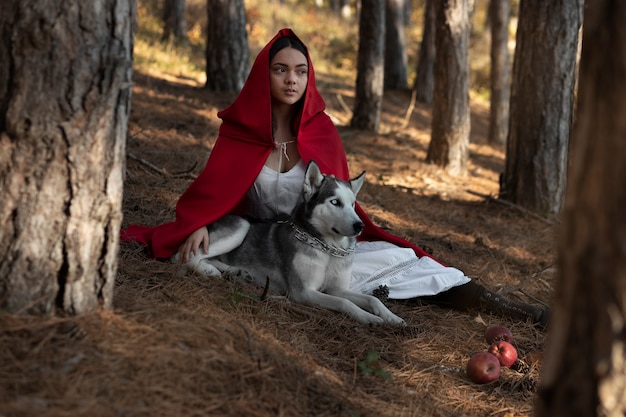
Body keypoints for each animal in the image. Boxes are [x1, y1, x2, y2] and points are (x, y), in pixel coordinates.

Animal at [171, 159, 404, 324]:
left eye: (353, 204)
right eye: (335, 202)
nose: (359, 226)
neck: (328, 249)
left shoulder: (336, 287)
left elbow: (372, 298)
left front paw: (391, 317)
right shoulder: (304, 292)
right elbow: (343, 302)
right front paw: (369, 318)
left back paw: (237, 271)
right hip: (241, 226)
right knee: (183, 256)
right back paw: (209, 270)